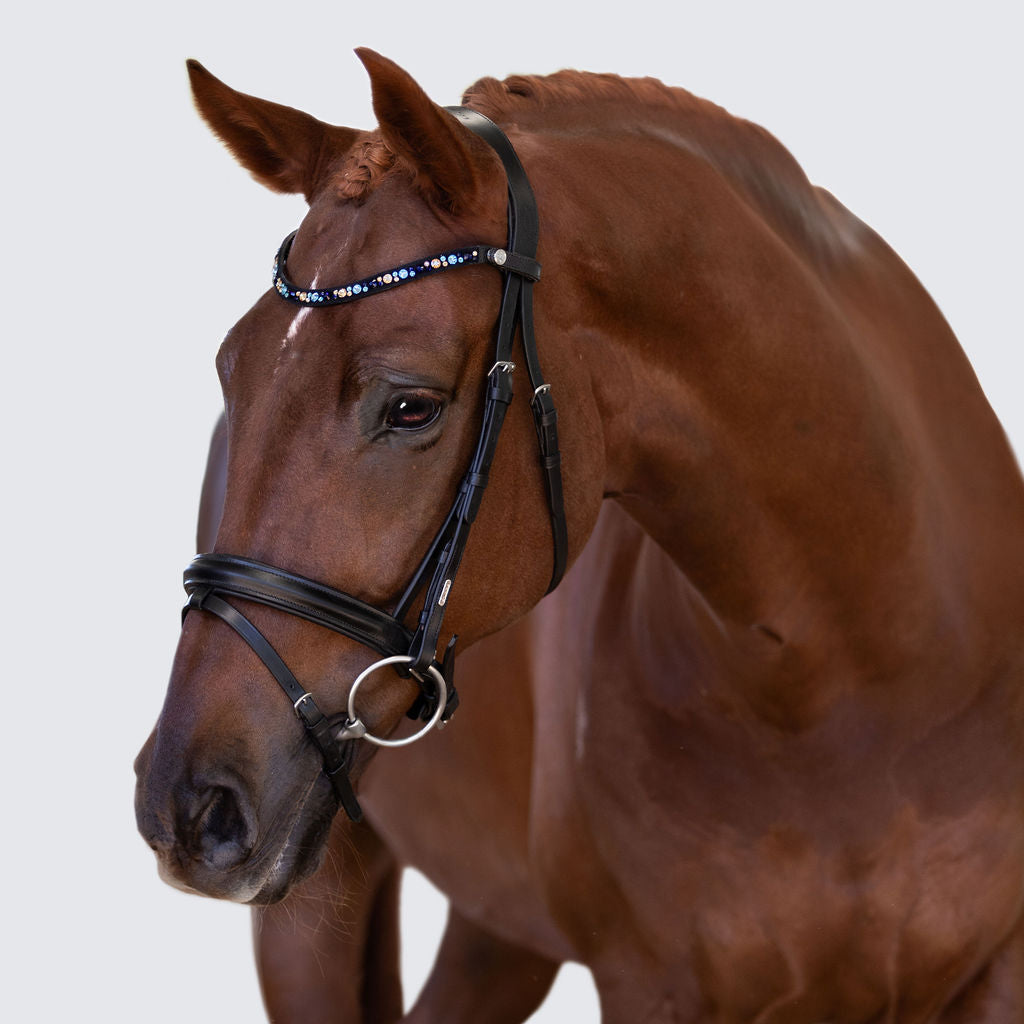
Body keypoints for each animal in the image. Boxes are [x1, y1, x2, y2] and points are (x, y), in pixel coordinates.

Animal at [134, 49, 1024, 1021]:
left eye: (412, 406)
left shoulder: (998, 971)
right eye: (233, 370)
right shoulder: (652, 984)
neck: (859, 678)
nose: (188, 804)